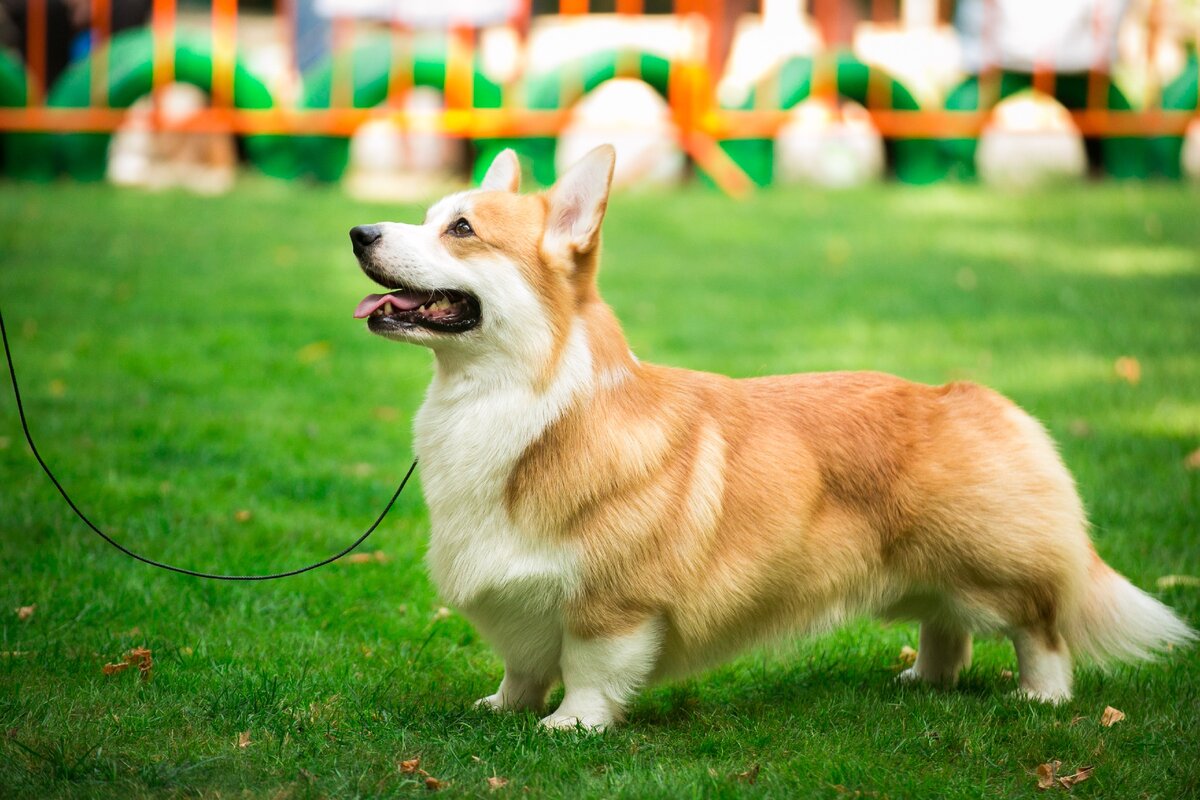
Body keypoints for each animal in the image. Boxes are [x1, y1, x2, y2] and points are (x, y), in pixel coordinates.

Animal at [348, 145, 1190, 734]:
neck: (523, 400)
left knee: (1039, 629)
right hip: (932, 573)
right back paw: (923, 681)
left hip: (994, 569)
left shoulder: (613, 601)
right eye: (431, 215)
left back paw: (1040, 699)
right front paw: (504, 708)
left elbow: (589, 667)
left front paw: (569, 726)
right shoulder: (518, 604)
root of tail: (969, 396)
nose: (358, 230)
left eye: (461, 230)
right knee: (945, 629)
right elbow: (522, 665)